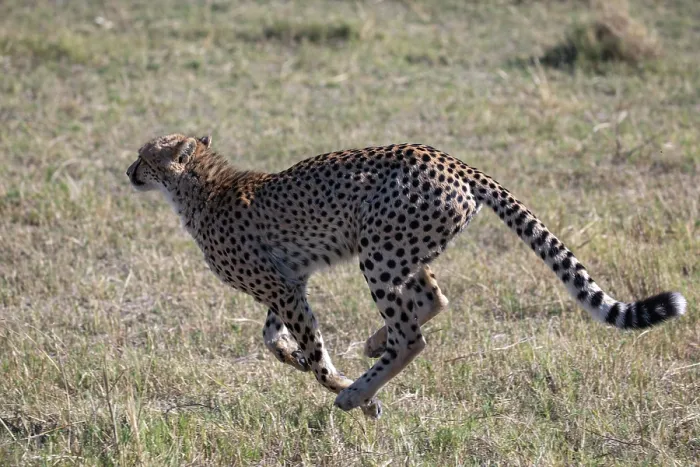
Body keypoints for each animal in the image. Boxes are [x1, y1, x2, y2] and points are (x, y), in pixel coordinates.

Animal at [126, 133, 687, 418]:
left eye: (143, 156)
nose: (128, 171)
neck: (202, 186)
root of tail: (452, 160)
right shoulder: (288, 283)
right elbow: (273, 338)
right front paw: (297, 359)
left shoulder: (282, 286)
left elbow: (314, 352)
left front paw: (340, 385)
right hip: (397, 248)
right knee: (433, 298)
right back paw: (374, 348)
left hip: (379, 252)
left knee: (412, 335)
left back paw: (358, 392)